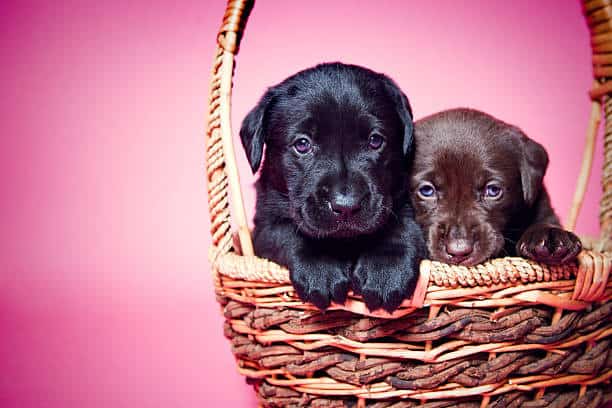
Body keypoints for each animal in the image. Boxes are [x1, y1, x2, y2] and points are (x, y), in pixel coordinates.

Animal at [239, 62, 426, 310]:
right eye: (302, 144)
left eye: (375, 140)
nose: (346, 206)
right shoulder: (263, 227)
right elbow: (288, 231)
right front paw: (321, 269)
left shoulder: (400, 199)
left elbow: (401, 224)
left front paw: (386, 271)